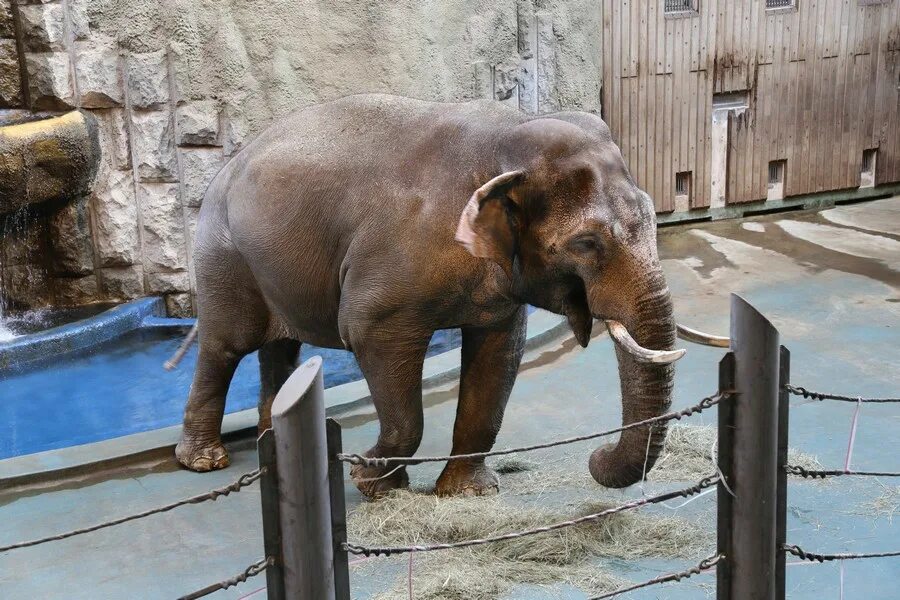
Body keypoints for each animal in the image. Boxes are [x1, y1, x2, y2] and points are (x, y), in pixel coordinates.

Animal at [176, 92, 712, 496]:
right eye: (587, 244)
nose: (595, 457)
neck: (509, 136)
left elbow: (498, 355)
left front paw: (467, 493)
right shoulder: (388, 273)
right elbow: (370, 336)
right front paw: (371, 481)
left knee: (280, 349)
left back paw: (271, 444)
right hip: (224, 253)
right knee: (228, 345)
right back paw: (204, 460)